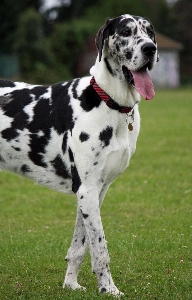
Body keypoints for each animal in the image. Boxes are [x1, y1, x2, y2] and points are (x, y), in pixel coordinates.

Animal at [0, 14, 158, 296]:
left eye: (150, 32)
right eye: (126, 32)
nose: (150, 48)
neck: (110, 103)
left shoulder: (96, 191)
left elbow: (81, 246)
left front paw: (71, 284)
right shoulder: (87, 189)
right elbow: (100, 248)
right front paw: (108, 289)